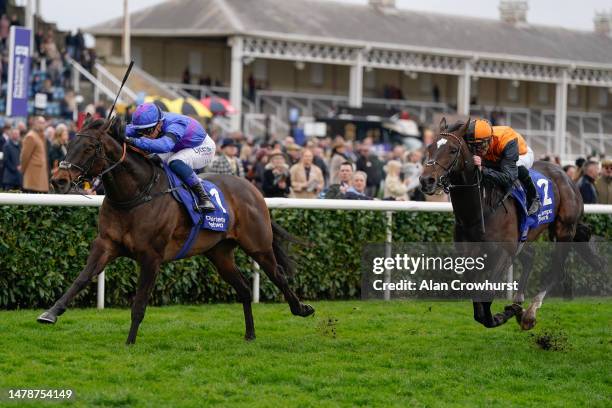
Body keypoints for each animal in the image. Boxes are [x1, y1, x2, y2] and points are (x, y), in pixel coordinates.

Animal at [37, 118, 314, 344]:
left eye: (90, 147)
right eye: (69, 143)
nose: (58, 180)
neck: (136, 195)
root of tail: (253, 189)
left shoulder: (151, 257)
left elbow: (140, 302)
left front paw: (130, 342)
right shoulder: (106, 244)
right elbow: (82, 278)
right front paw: (50, 313)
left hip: (258, 245)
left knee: (278, 275)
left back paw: (301, 309)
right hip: (219, 253)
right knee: (245, 289)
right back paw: (250, 334)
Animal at [418, 118, 600, 332]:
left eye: (453, 150)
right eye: (429, 147)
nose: (426, 180)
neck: (480, 210)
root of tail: (566, 176)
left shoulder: (503, 254)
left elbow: (487, 295)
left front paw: (501, 316)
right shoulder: (469, 257)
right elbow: (477, 304)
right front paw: (508, 311)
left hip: (564, 229)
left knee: (556, 270)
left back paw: (529, 313)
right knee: (530, 256)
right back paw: (519, 303)